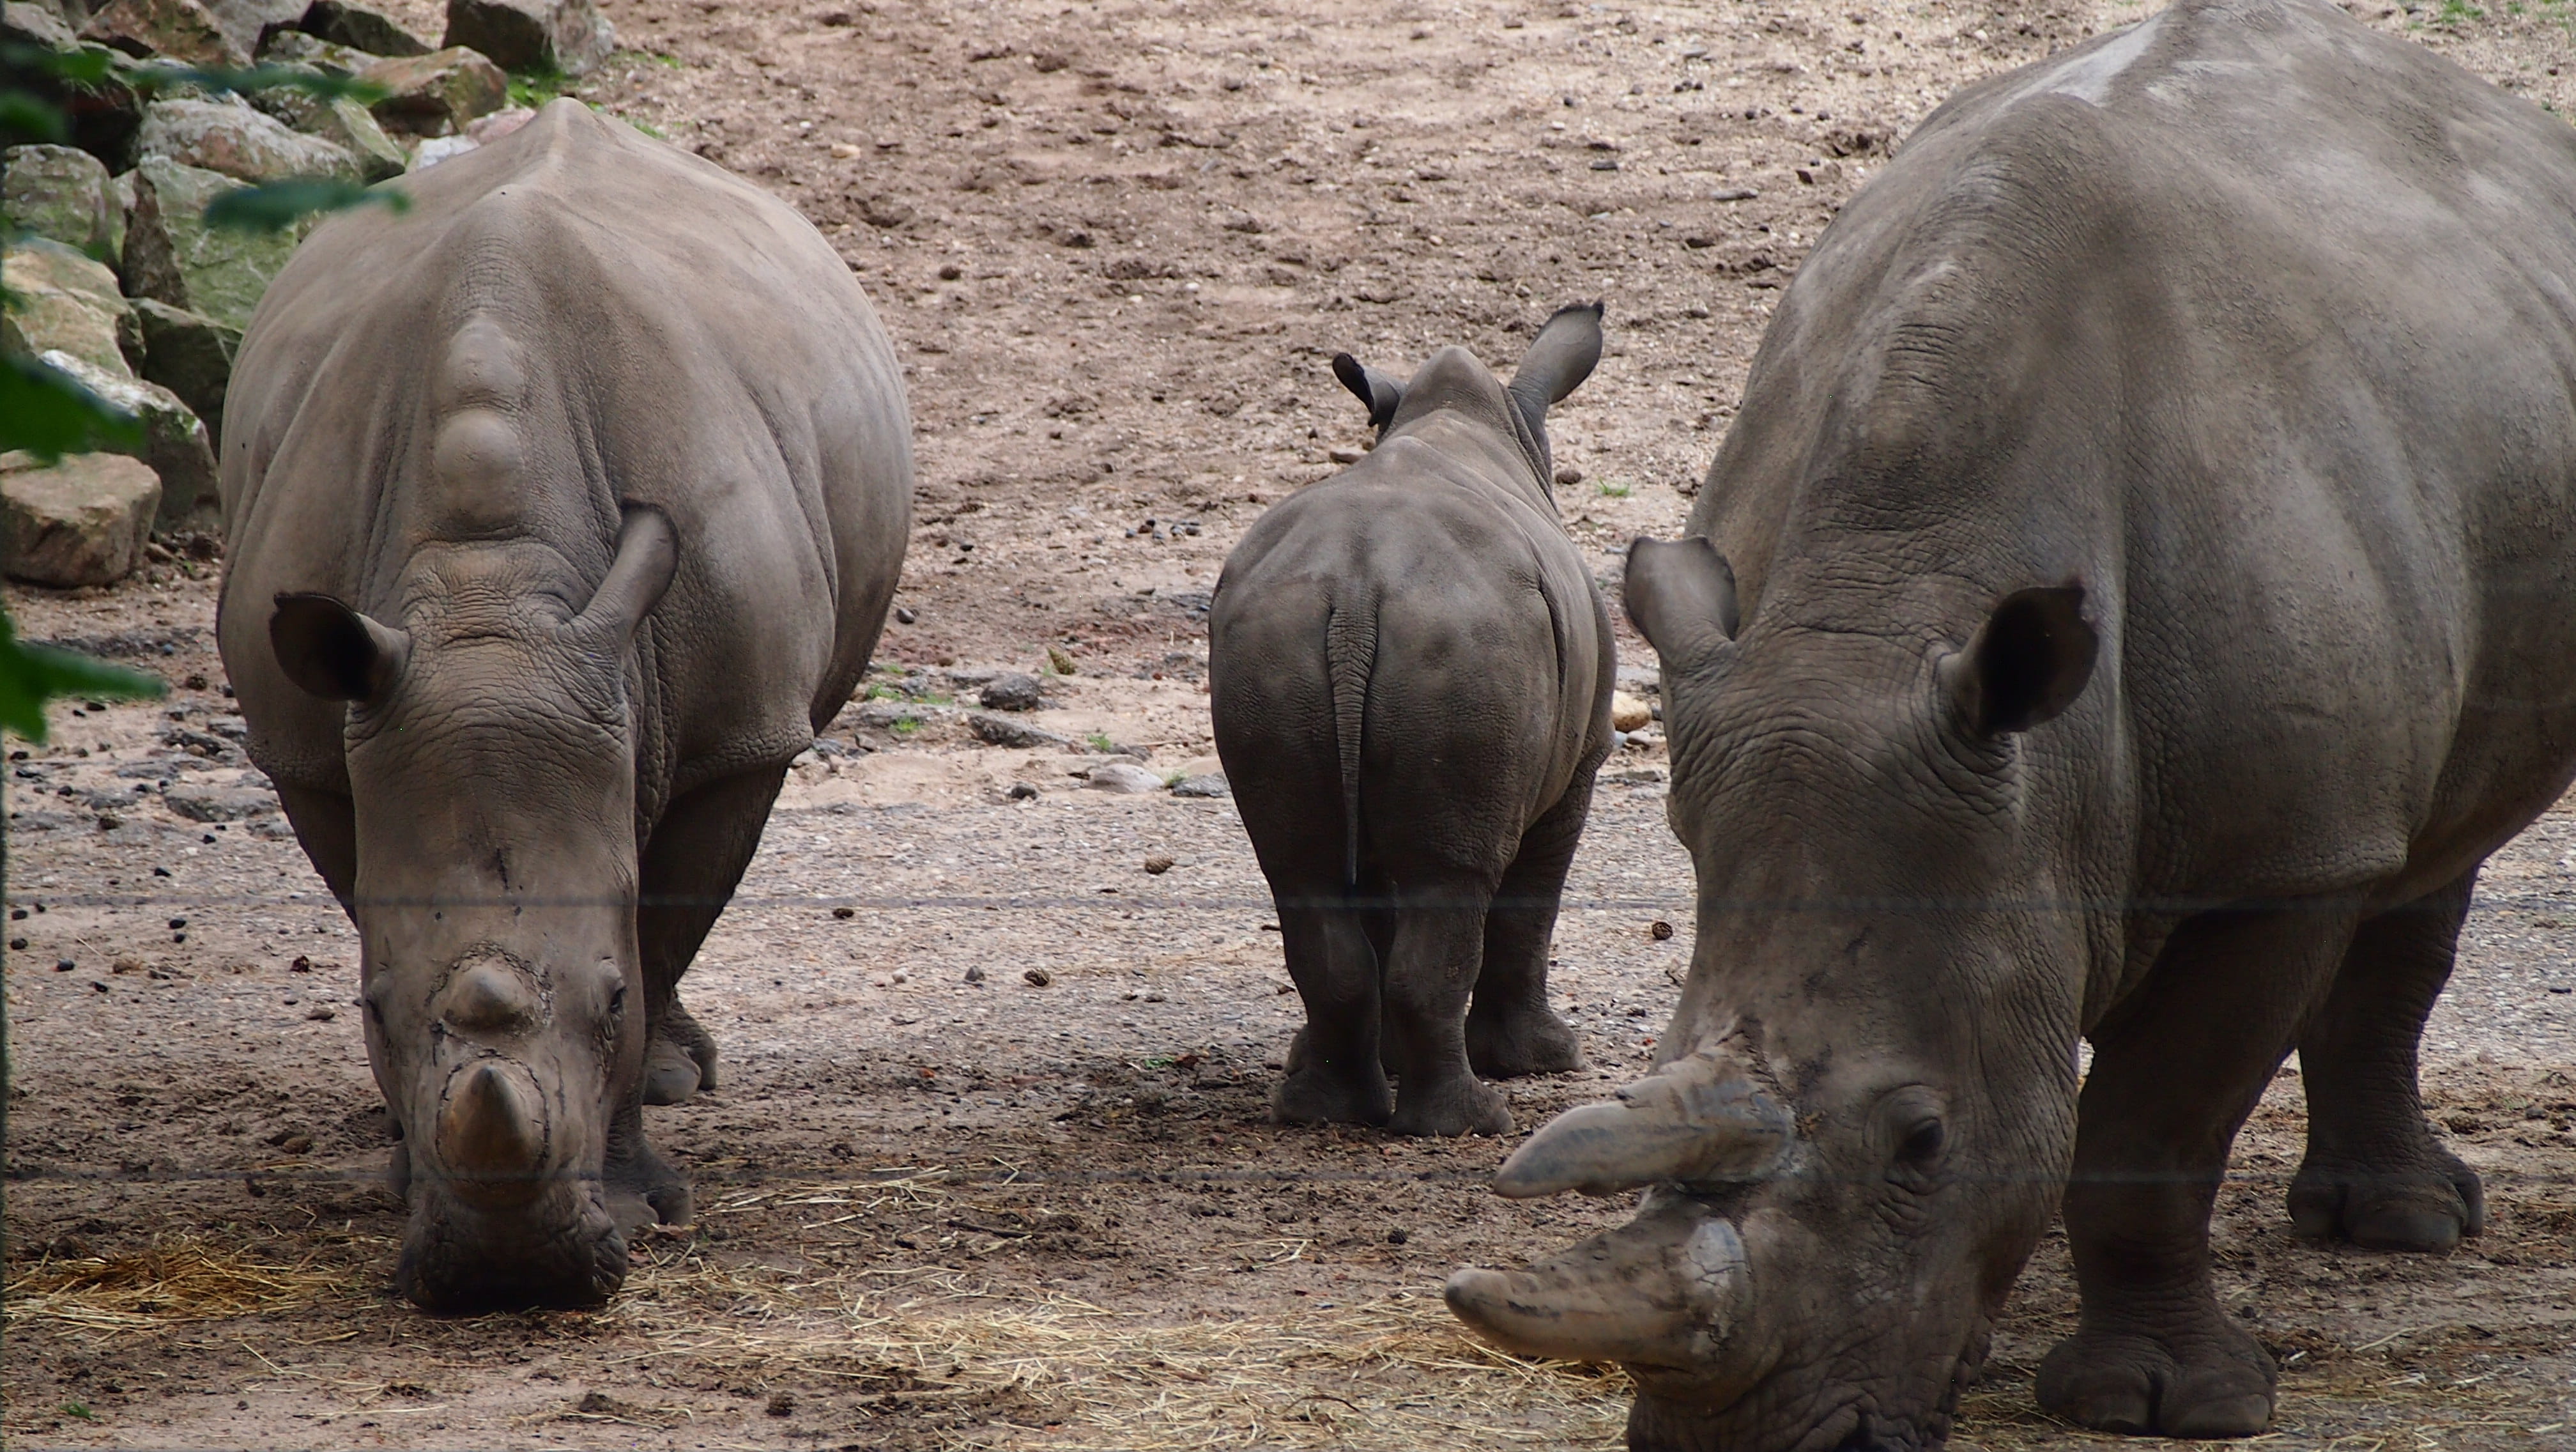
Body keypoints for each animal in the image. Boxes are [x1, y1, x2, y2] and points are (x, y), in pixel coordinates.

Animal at [215, 100, 911, 1310]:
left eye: (610, 1004)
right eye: (368, 1011)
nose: (509, 1281)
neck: (488, 595)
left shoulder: (738, 735)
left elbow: (662, 930)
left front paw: (645, 1193)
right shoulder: (308, 742)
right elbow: (375, 905)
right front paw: (406, 1169)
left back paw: (686, 1078)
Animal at [1209, 304, 1615, 1137]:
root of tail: (1357, 590)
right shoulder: (1583, 761)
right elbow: (1532, 902)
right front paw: (1547, 1059)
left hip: (1277, 639)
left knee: (1303, 871)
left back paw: (1321, 1111)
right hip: (1467, 639)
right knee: (1453, 877)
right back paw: (1470, 1121)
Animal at [1446, 3, 2576, 1445]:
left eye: (1922, 1140)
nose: (1732, 1443)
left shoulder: (2284, 858)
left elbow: (2150, 1131)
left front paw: (2163, 1402)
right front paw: (1972, 1349)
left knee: (2429, 843)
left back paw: (2401, 1227)